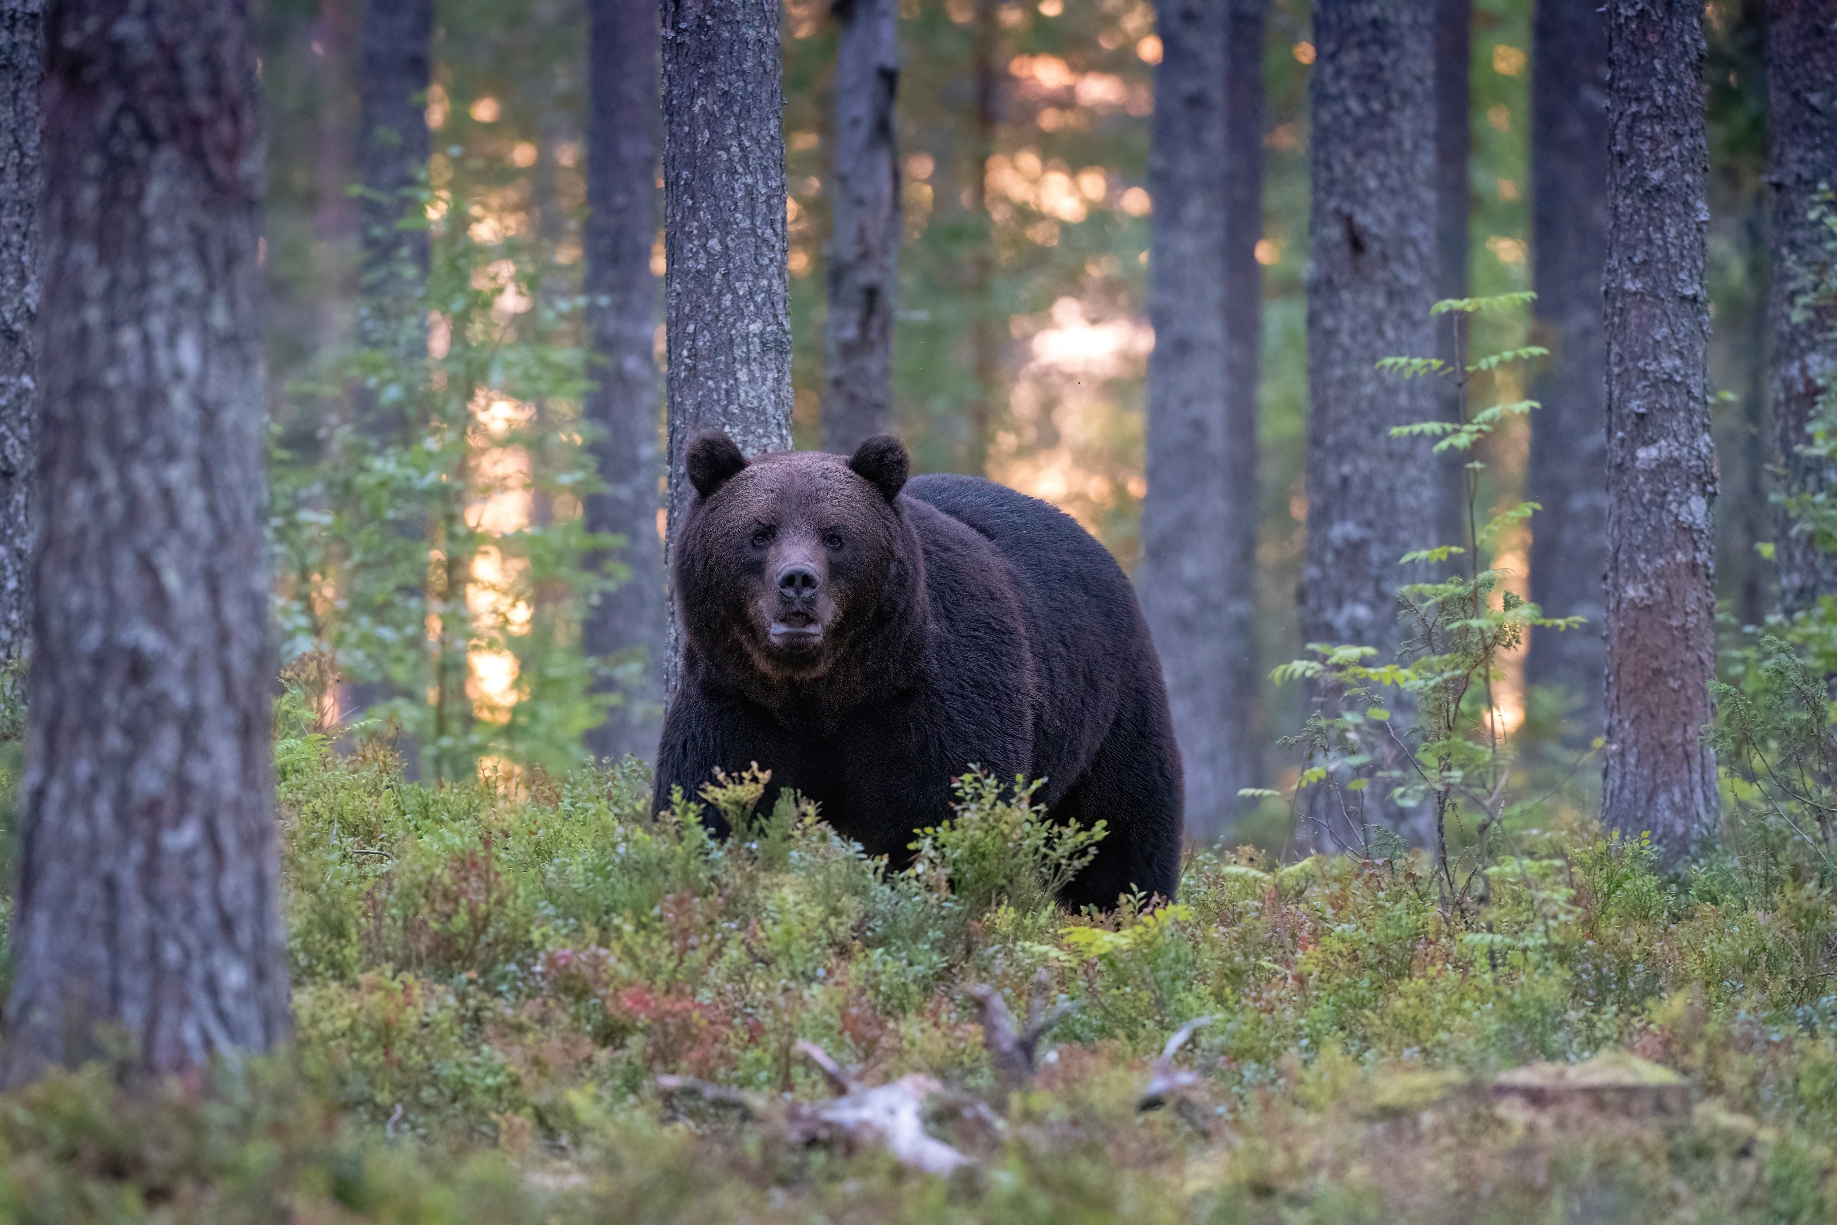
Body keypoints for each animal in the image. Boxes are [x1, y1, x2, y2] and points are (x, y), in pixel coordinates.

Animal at [653, 429, 1184, 909]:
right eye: (759, 533)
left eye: (835, 536)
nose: (798, 581)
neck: (823, 690)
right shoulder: (738, 700)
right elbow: (710, 799)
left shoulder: (931, 695)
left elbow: (937, 810)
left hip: (1108, 702)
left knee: (1122, 825)